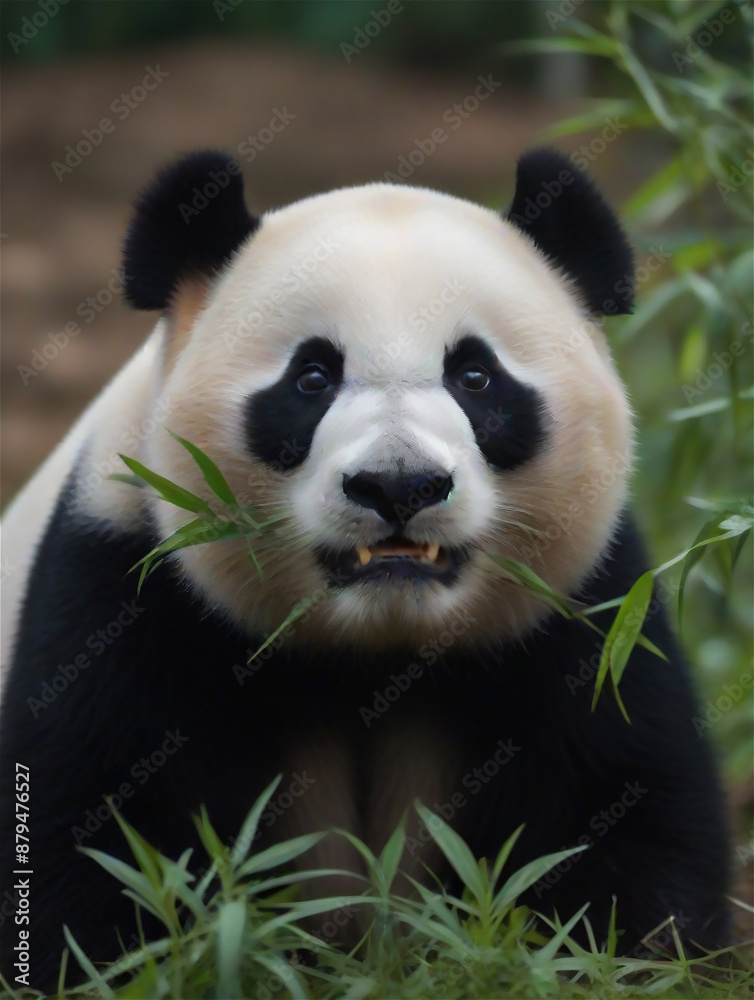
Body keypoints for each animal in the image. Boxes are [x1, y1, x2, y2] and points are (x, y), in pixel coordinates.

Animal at [0, 149, 729, 990]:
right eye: (312, 378)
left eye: (475, 377)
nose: (398, 485)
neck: (374, 649)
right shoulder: (127, 579)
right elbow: (103, 835)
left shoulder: (584, 611)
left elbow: (619, 815)